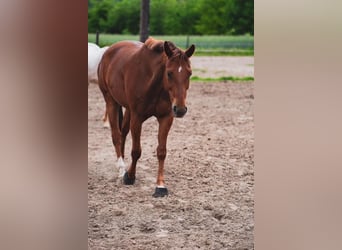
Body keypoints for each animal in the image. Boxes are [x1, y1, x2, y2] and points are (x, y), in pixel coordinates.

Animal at [98, 37, 195, 197]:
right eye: (169, 73)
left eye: (189, 73)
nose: (180, 109)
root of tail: (110, 50)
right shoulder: (137, 118)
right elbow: (136, 151)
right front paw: (129, 176)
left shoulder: (166, 118)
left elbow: (161, 151)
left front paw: (160, 186)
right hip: (110, 101)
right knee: (116, 135)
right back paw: (121, 168)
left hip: (127, 109)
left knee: (123, 133)